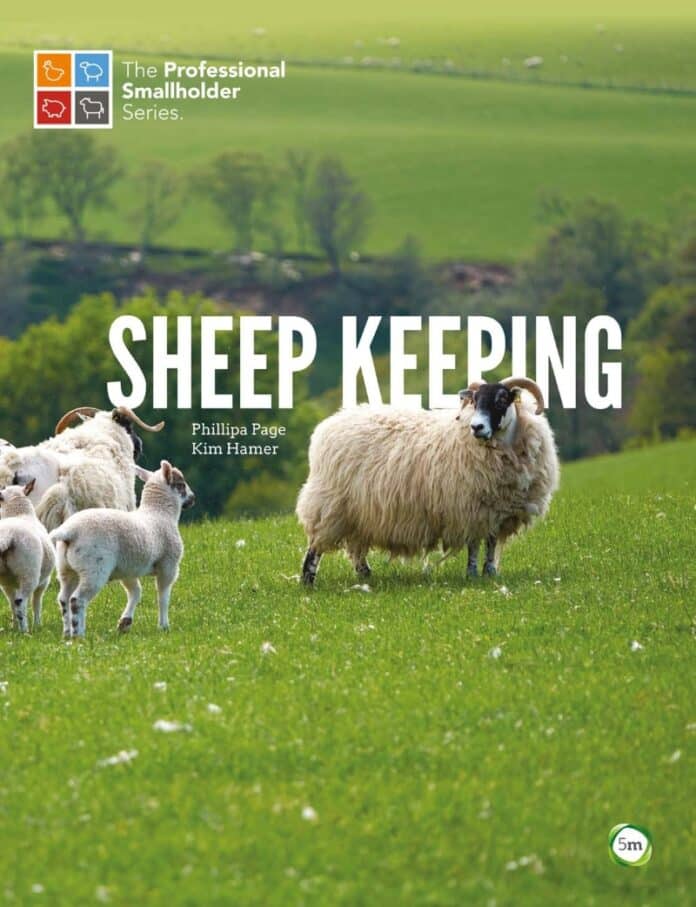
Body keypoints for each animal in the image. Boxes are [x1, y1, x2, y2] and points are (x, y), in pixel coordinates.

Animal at [0, 480, 55, 633]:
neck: (19, 514)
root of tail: (8, 534)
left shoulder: (8, 583)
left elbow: (11, 603)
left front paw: (13, 626)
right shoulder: (44, 581)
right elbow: (37, 602)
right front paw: (38, 624)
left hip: (5, 578)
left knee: (13, 602)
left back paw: (17, 627)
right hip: (29, 572)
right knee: (20, 602)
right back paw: (25, 630)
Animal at [50, 460, 195, 638]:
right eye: (181, 484)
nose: (193, 498)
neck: (159, 513)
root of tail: (69, 531)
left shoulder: (128, 570)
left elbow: (135, 592)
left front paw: (125, 623)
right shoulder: (168, 566)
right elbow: (163, 597)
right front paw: (164, 626)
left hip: (66, 568)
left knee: (64, 598)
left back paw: (67, 633)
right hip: (94, 568)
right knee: (77, 599)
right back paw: (79, 634)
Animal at [296, 377, 559, 585]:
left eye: (502, 400)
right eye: (475, 401)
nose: (477, 427)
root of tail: (327, 425)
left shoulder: (496, 511)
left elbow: (491, 544)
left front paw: (490, 572)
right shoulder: (471, 508)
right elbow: (474, 545)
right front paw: (473, 574)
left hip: (358, 512)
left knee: (356, 548)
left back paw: (366, 576)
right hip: (330, 504)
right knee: (315, 546)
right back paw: (308, 581)